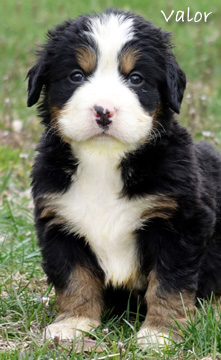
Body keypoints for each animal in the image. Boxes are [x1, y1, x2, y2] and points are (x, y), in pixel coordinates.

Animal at [26, 9, 221, 346]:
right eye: (76, 76)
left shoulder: (180, 224)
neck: (104, 161)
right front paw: (73, 323)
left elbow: (169, 283)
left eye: (136, 78)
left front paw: (161, 333)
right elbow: (74, 278)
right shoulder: (59, 223)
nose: (104, 110)